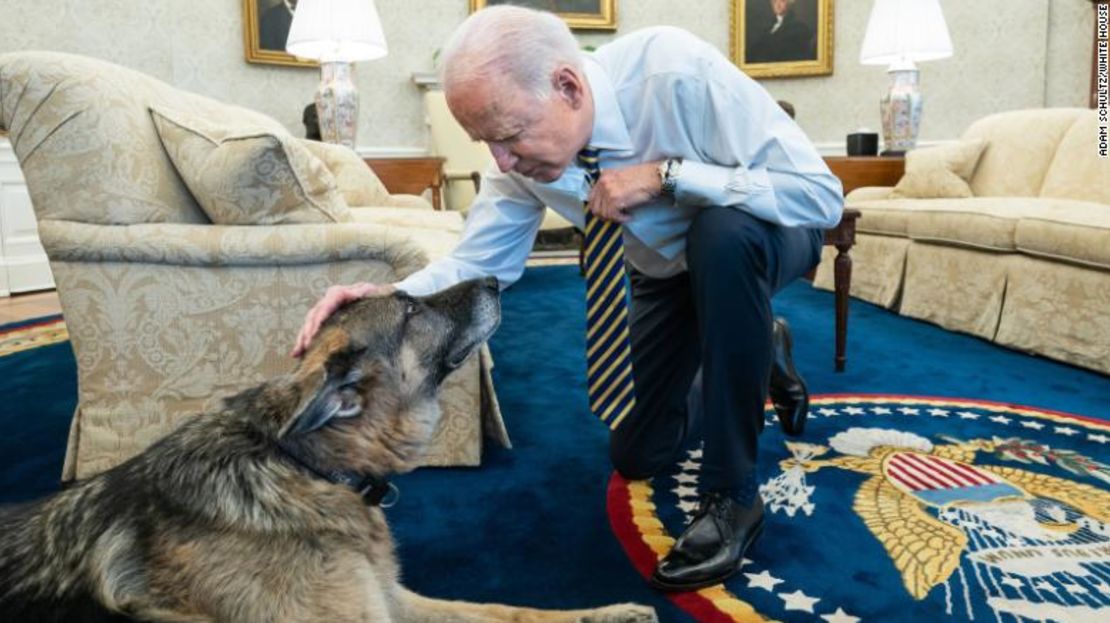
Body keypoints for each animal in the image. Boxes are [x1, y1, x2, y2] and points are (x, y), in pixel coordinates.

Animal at [0, 279, 657, 617]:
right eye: (410, 307)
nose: (496, 279)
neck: (305, 467)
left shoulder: (393, 600)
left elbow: (507, 611)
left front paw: (608, 615)